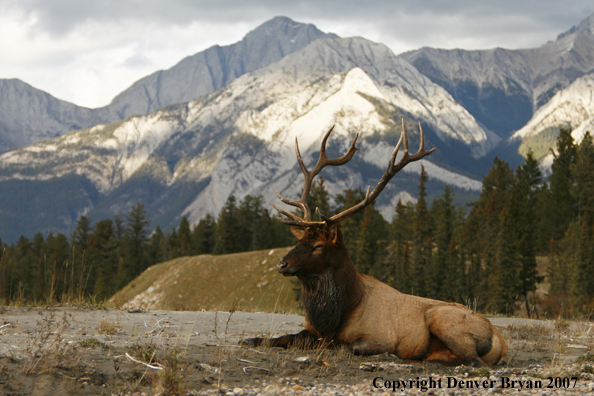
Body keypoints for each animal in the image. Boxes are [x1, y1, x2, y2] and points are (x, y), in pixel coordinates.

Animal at [243, 120, 506, 368]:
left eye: (318, 245)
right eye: (300, 240)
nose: (282, 264)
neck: (338, 314)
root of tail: (500, 340)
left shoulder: (378, 337)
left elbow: (340, 346)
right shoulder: (311, 329)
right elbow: (281, 338)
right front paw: (249, 339)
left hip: (443, 319)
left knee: (475, 360)